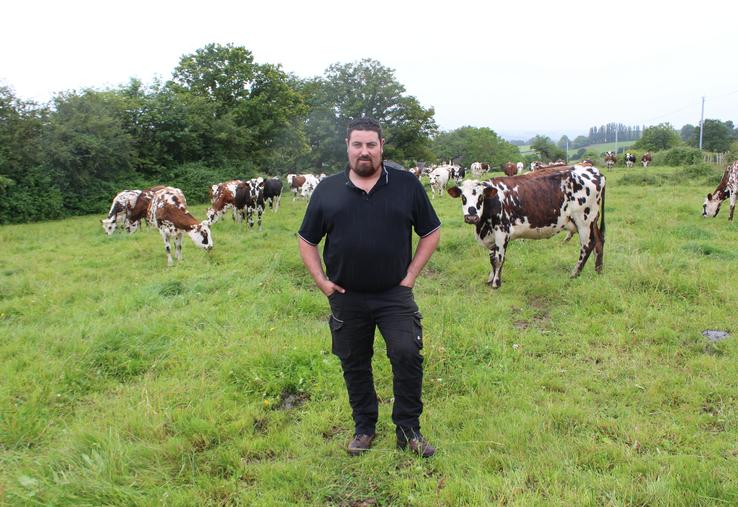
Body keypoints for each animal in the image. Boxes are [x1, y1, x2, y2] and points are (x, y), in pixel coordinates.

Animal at [446, 165, 608, 288]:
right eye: (463, 197)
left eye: (481, 197)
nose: (471, 216)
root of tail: (593, 170)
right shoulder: (491, 236)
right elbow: (492, 259)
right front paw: (490, 279)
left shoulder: (502, 232)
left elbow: (499, 259)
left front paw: (496, 283)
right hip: (592, 220)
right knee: (599, 241)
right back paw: (598, 270)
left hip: (584, 220)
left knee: (587, 245)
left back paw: (575, 273)